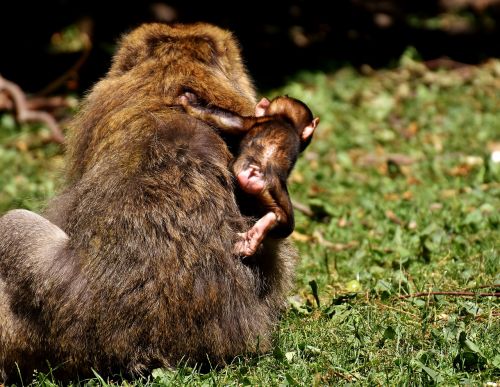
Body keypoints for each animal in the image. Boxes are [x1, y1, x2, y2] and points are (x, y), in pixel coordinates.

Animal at [181, 90, 320, 255]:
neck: (286, 120)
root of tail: (257, 171)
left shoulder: (251, 122)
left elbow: (224, 119)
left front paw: (189, 101)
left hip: (238, 170)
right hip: (274, 192)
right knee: (285, 223)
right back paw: (257, 234)